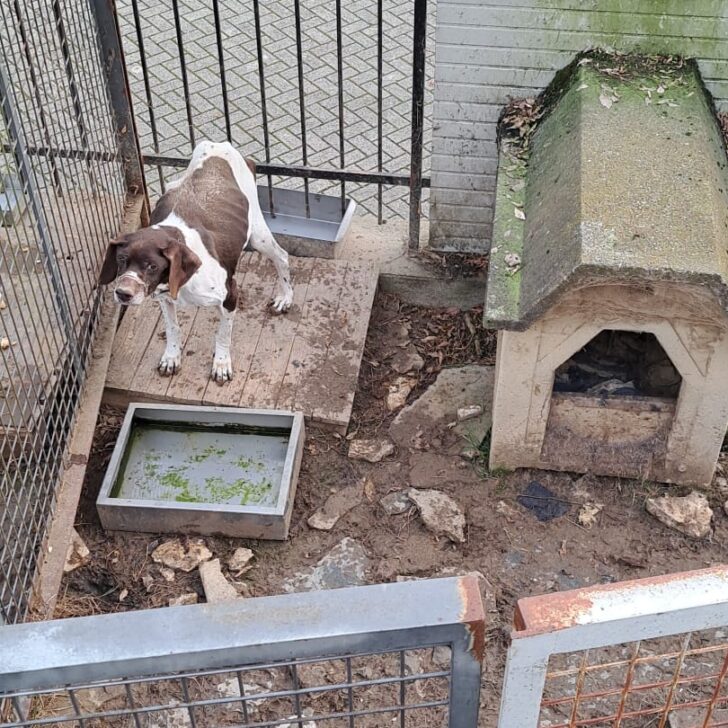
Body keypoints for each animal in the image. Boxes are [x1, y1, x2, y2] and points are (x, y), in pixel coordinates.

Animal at [100, 139, 292, 384]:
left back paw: (285, 298)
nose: (123, 294)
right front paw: (171, 357)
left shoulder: (230, 295)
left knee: (282, 257)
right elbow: (172, 329)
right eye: (122, 259)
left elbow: (223, 334)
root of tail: (218, 144)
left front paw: (221, 364)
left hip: (258, 235)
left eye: (152, 266)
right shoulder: (164, 299)